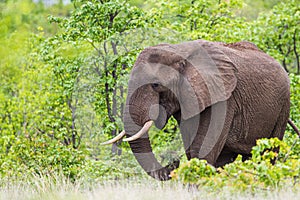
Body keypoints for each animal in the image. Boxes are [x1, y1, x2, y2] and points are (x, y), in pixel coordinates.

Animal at [102, 39, 290, 180]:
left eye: (155, 85)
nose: (174, 163)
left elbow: (202, 148)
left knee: (267, 153)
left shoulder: (223, 98)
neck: (179, 51)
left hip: (283, 105)